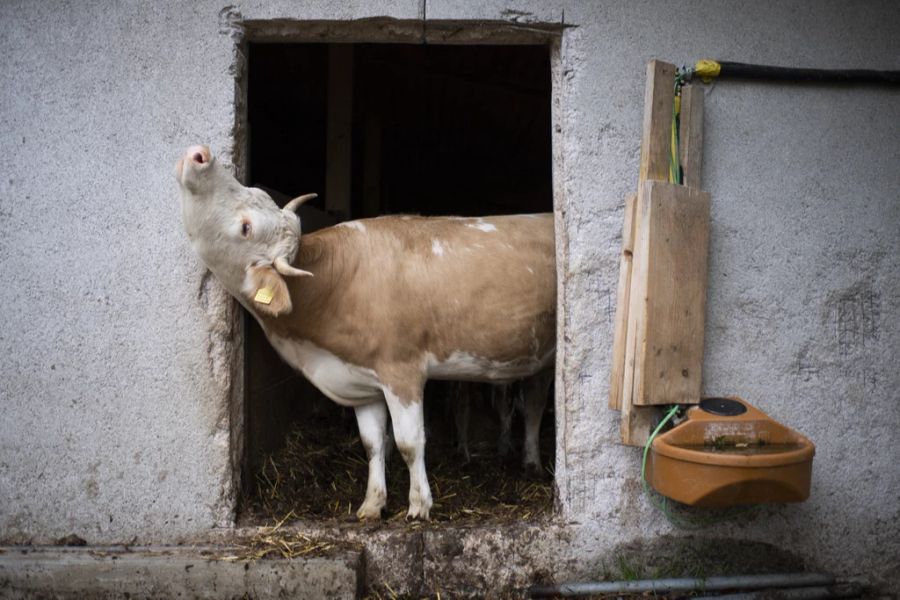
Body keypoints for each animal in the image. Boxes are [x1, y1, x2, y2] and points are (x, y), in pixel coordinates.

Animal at [174, 145, 556, 520]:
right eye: (251, 206)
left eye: (246, 227)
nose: (200, 154)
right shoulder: (358, 378)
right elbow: (373, 443)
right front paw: (372, 504)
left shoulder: (402, 371)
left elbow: (408, 442)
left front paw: (419, 506)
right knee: (532, 404)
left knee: (533, 405)